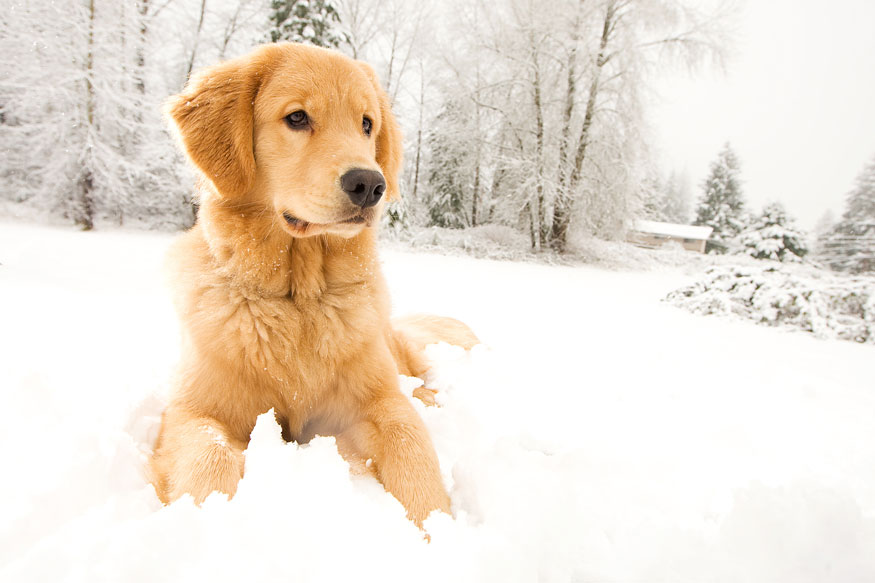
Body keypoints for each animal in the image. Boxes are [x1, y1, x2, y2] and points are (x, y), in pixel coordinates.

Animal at [151, 43, 480, 528]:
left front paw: (435, 530)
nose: (370, 184)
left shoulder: (379, 402)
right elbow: (209, 460)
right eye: (297, 117)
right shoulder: (193, 411)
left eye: (367, 124)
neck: (299, 298)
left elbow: (410, 445)